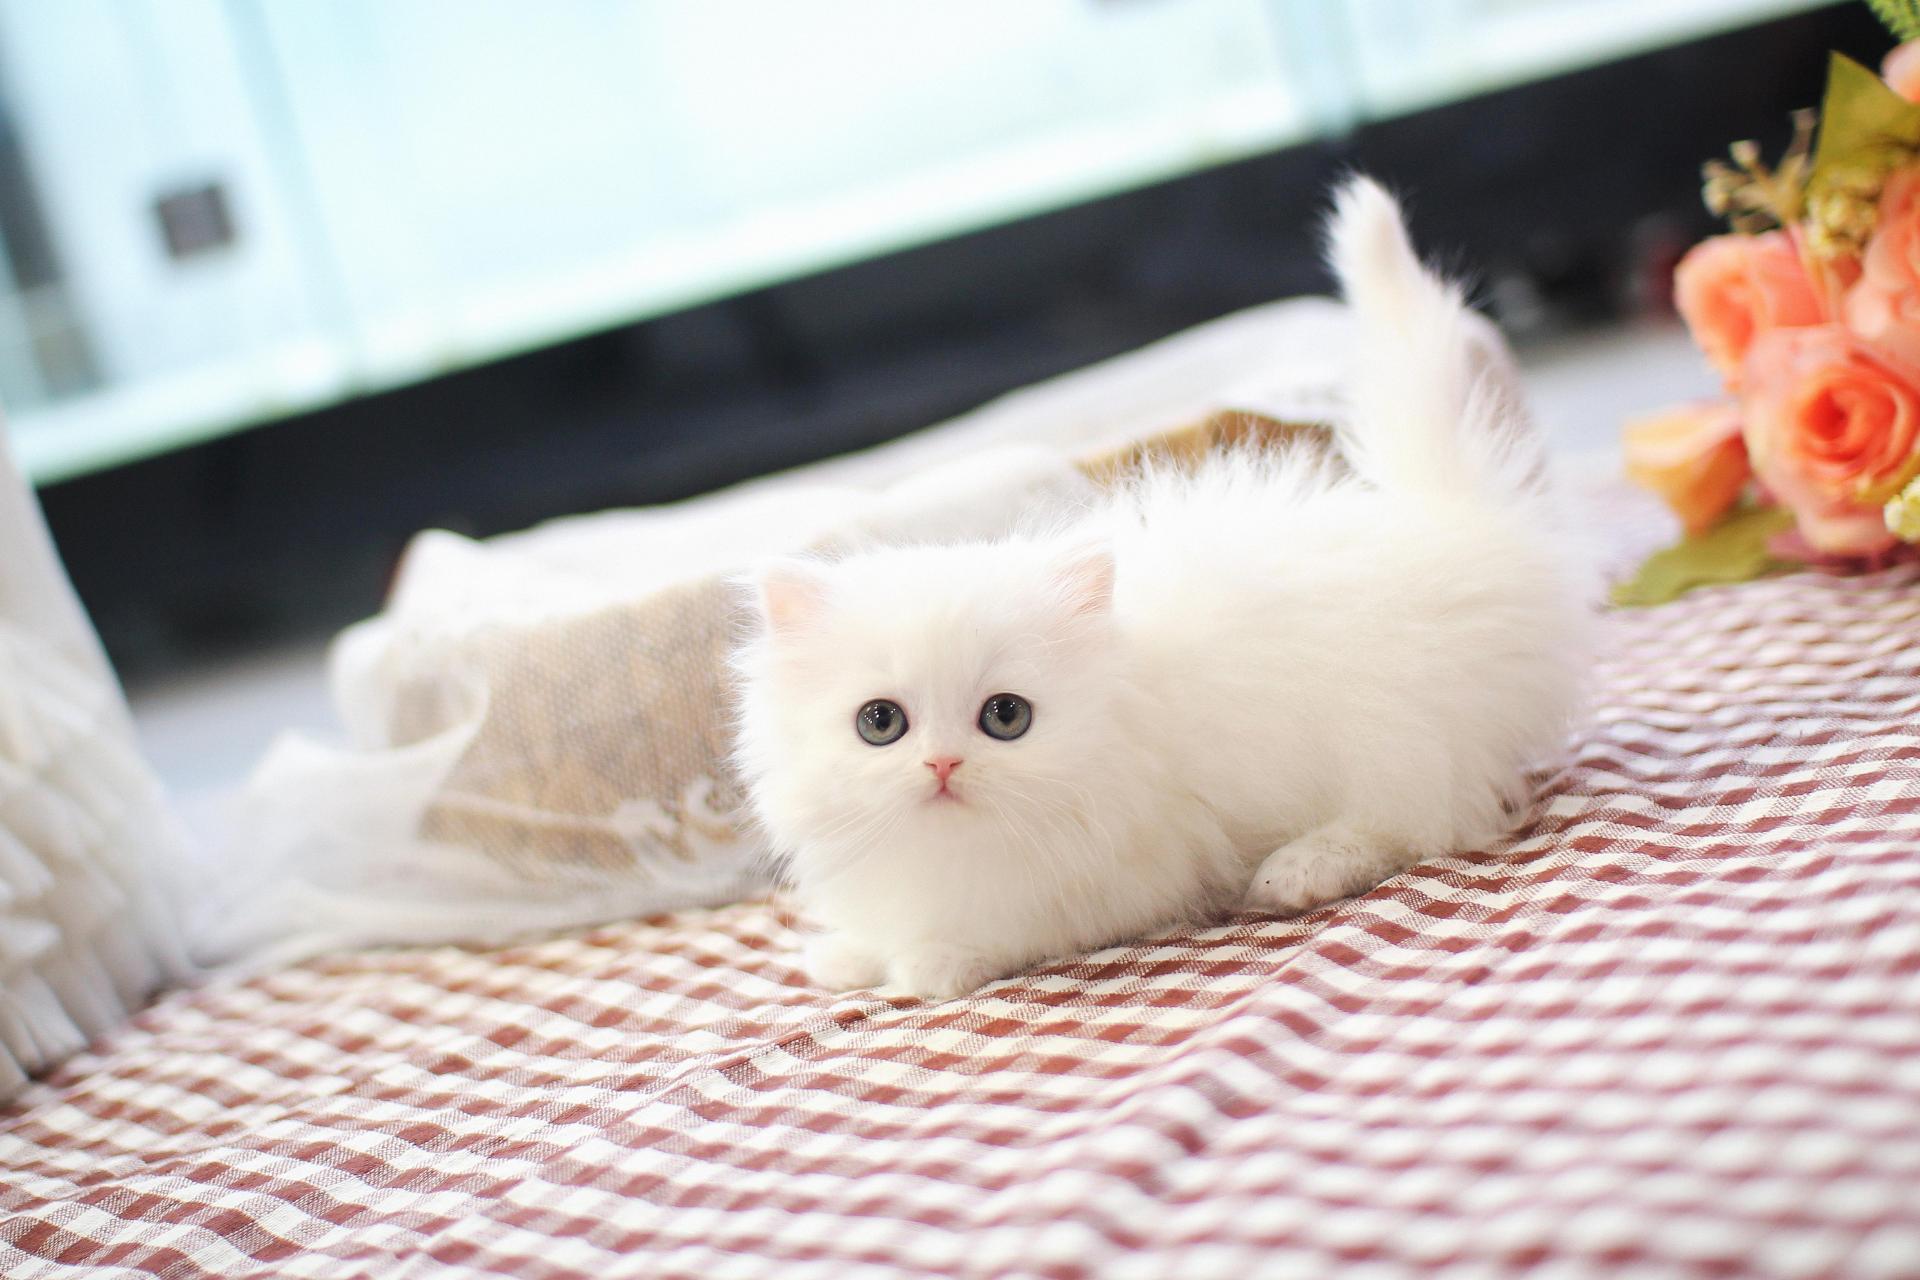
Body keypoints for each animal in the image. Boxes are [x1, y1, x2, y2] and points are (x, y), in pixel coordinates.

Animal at [731, 176, 1591, 999]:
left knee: (1423, 823)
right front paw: (847, 953)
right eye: (880, 724)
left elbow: (1013, 930)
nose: (942, 766)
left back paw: (1299, 869)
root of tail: (1461, 523)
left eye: (1005, 718)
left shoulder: (1125, 877)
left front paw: (931, 962)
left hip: (1398, 735)